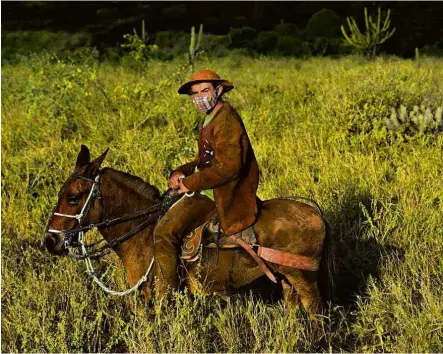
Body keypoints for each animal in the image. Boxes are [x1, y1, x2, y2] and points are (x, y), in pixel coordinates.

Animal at [45, 145, 334, 316]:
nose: (50, 241)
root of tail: (317, 214)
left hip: (303, 279)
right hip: (286, 279)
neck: (142, 234)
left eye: (73, 198)